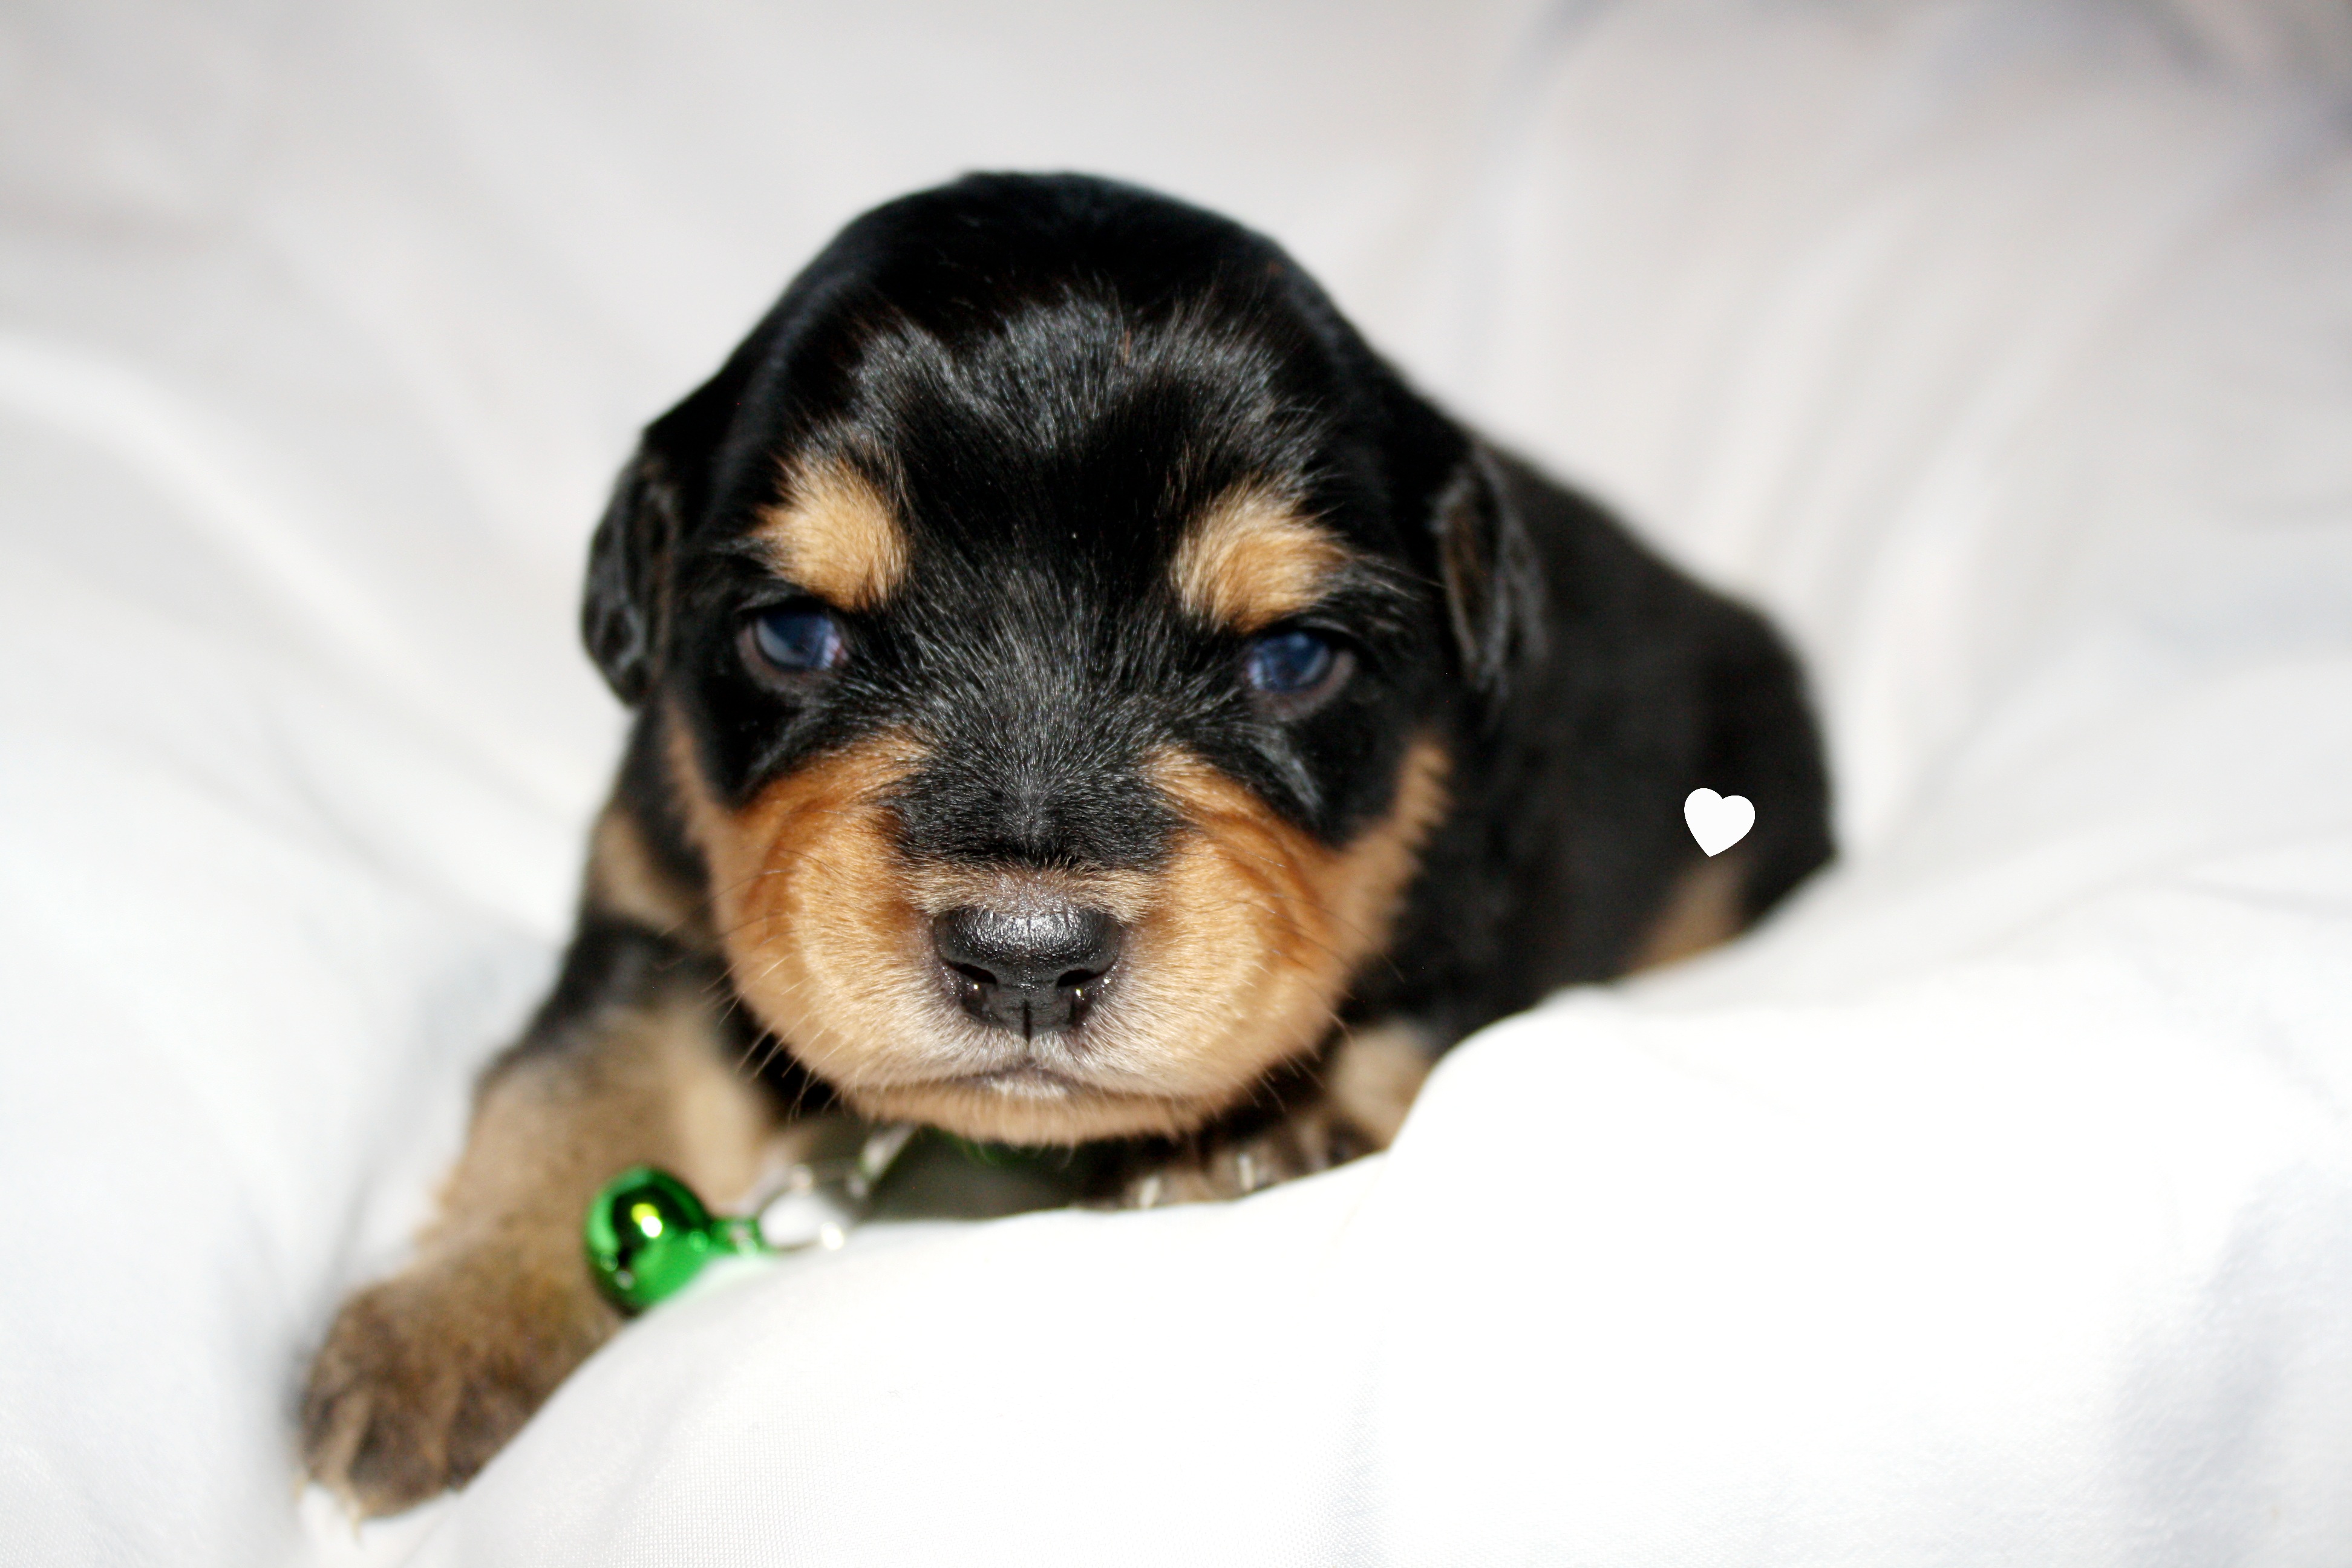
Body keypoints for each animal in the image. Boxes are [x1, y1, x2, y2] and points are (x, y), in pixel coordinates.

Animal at [301, 172, 1833, 1516]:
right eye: (794, 636)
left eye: (1290, 659)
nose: (1026, 959)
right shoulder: (653, 910)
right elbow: (573, 1092)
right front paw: (442, 1333)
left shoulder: (1479, 897)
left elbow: (1391, 1024)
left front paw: (1245, 1137)